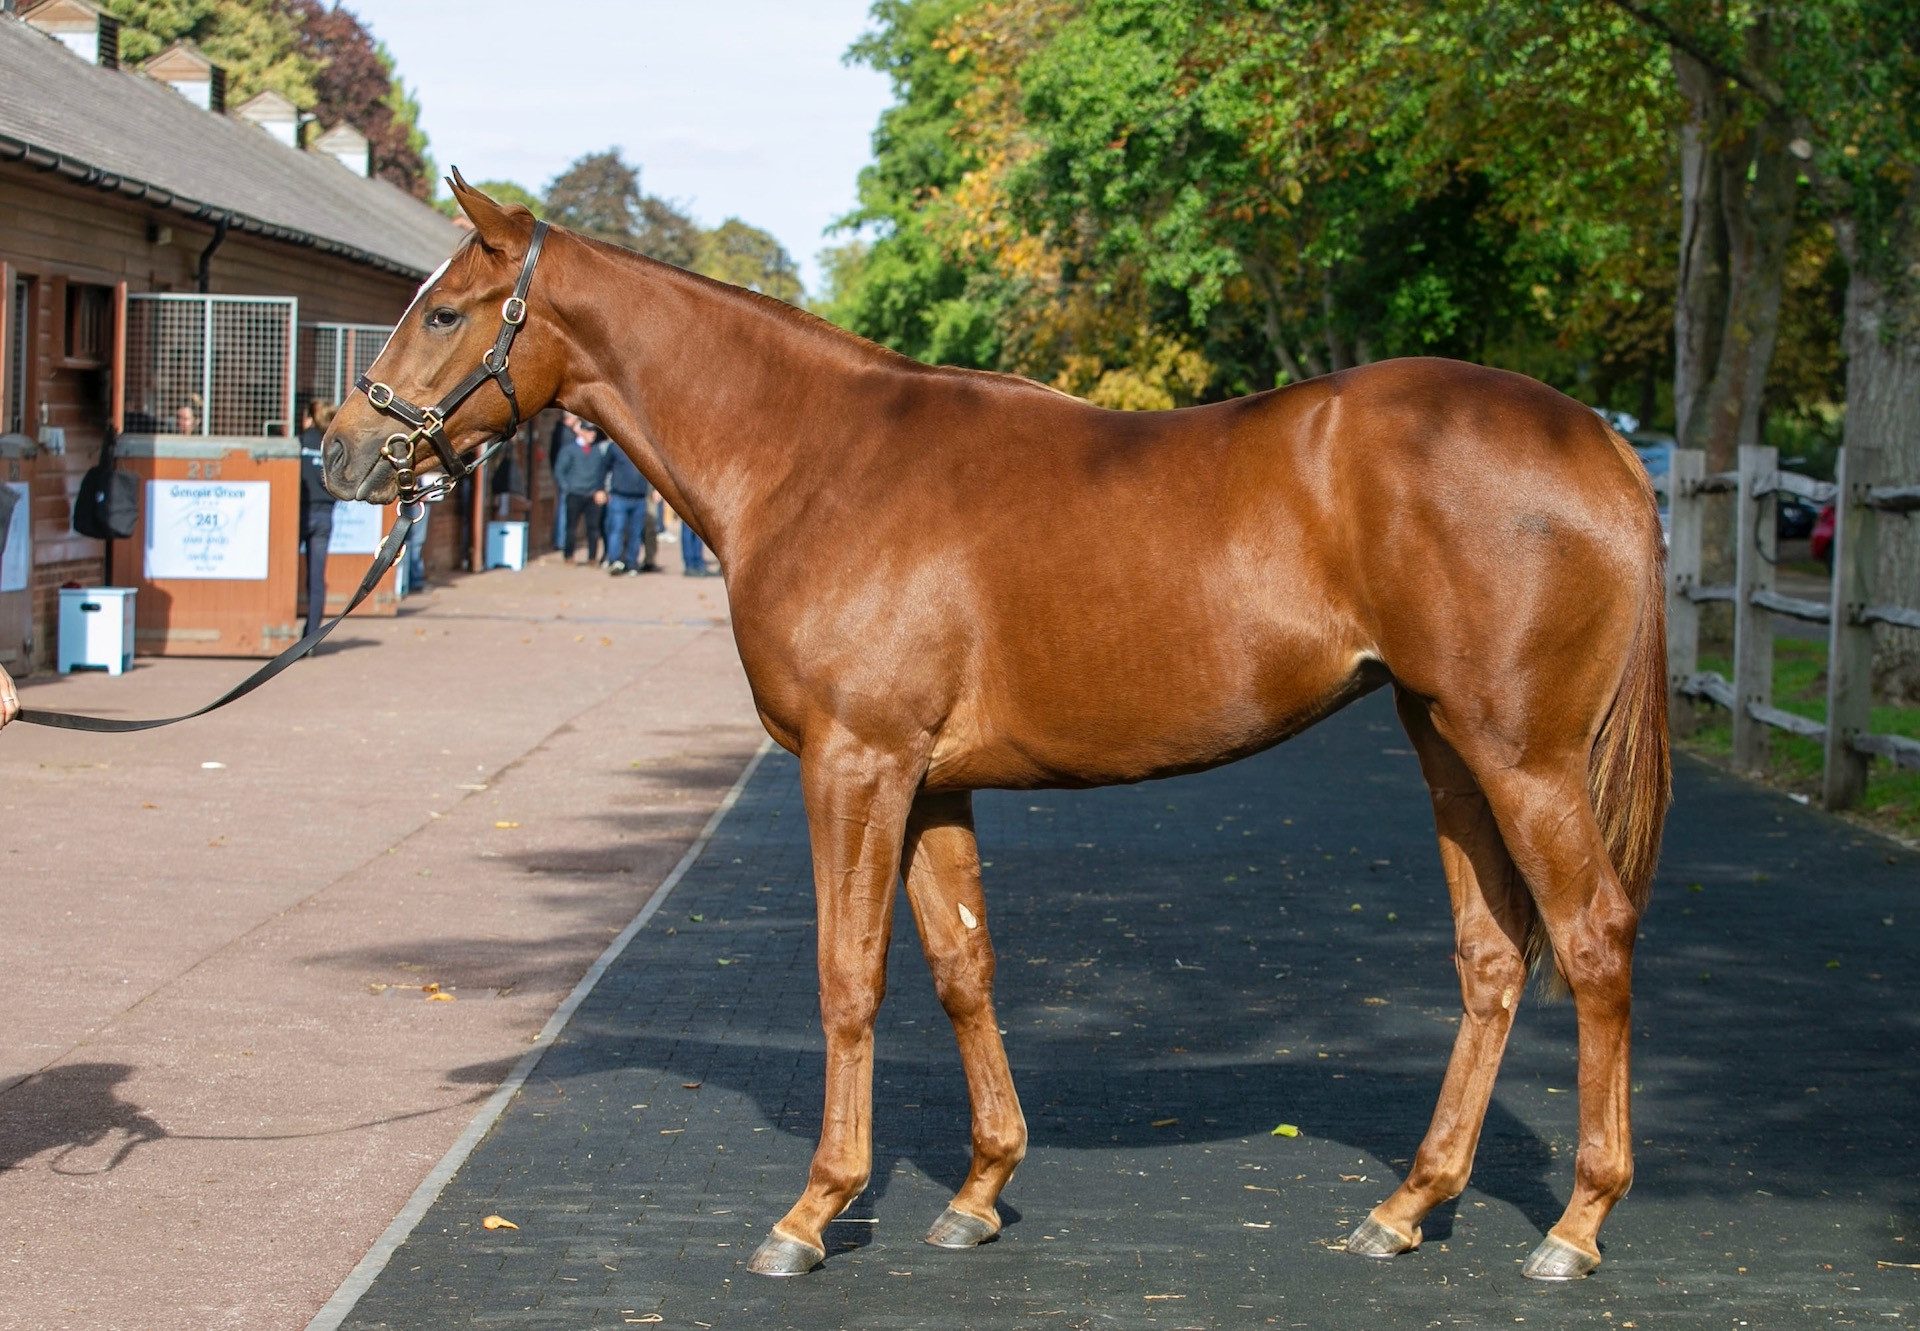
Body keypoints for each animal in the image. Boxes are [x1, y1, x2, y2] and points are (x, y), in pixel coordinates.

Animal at [330, 181, 1666, 1282]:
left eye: (445, 312)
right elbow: (962, 966)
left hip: (1523, 755)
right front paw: (977, 1190)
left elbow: (850, 974)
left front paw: (814, 1209)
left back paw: (1578, 1223)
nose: (346, 448)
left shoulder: (855, 763)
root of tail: (1604, 440)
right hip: (1448, 744)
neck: (811, 458)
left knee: (1593, 937)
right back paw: (1407, 1205)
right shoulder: (929, 782)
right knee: (1493, 957)